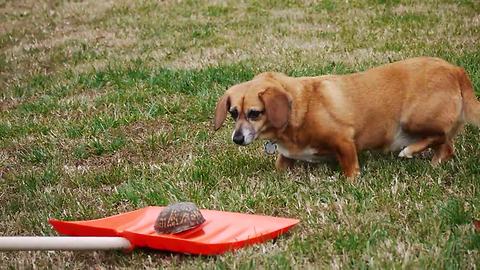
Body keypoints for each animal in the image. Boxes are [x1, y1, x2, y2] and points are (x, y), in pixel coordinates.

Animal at [214, 57, 480, 177]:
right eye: (233, 113)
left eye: (255, 113)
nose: (237, 139)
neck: (301, 107)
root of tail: (455, 70)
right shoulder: (287, 156)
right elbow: (281, 165)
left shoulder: (344, 140)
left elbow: (350, 168)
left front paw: (350, 181)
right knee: (447, 147)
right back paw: (434, 163)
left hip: (412, 118)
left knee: (440, 136)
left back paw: (410, 150)